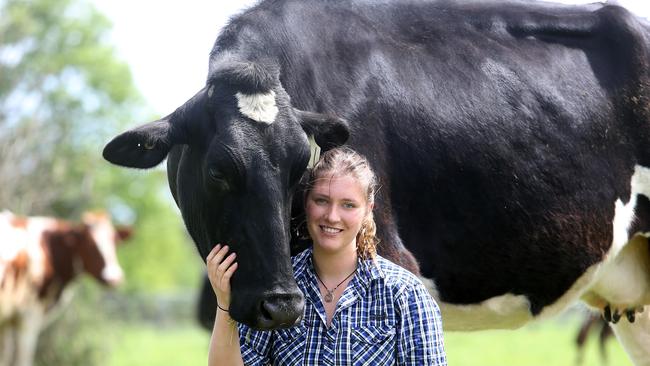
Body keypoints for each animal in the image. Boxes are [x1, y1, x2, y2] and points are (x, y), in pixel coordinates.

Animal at [0, 210, 128, 366]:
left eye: (115, 241)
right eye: (90, 244)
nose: (114, 278)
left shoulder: (7, 319)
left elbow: (4, 356)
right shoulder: (28, 314)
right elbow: (22, 359)